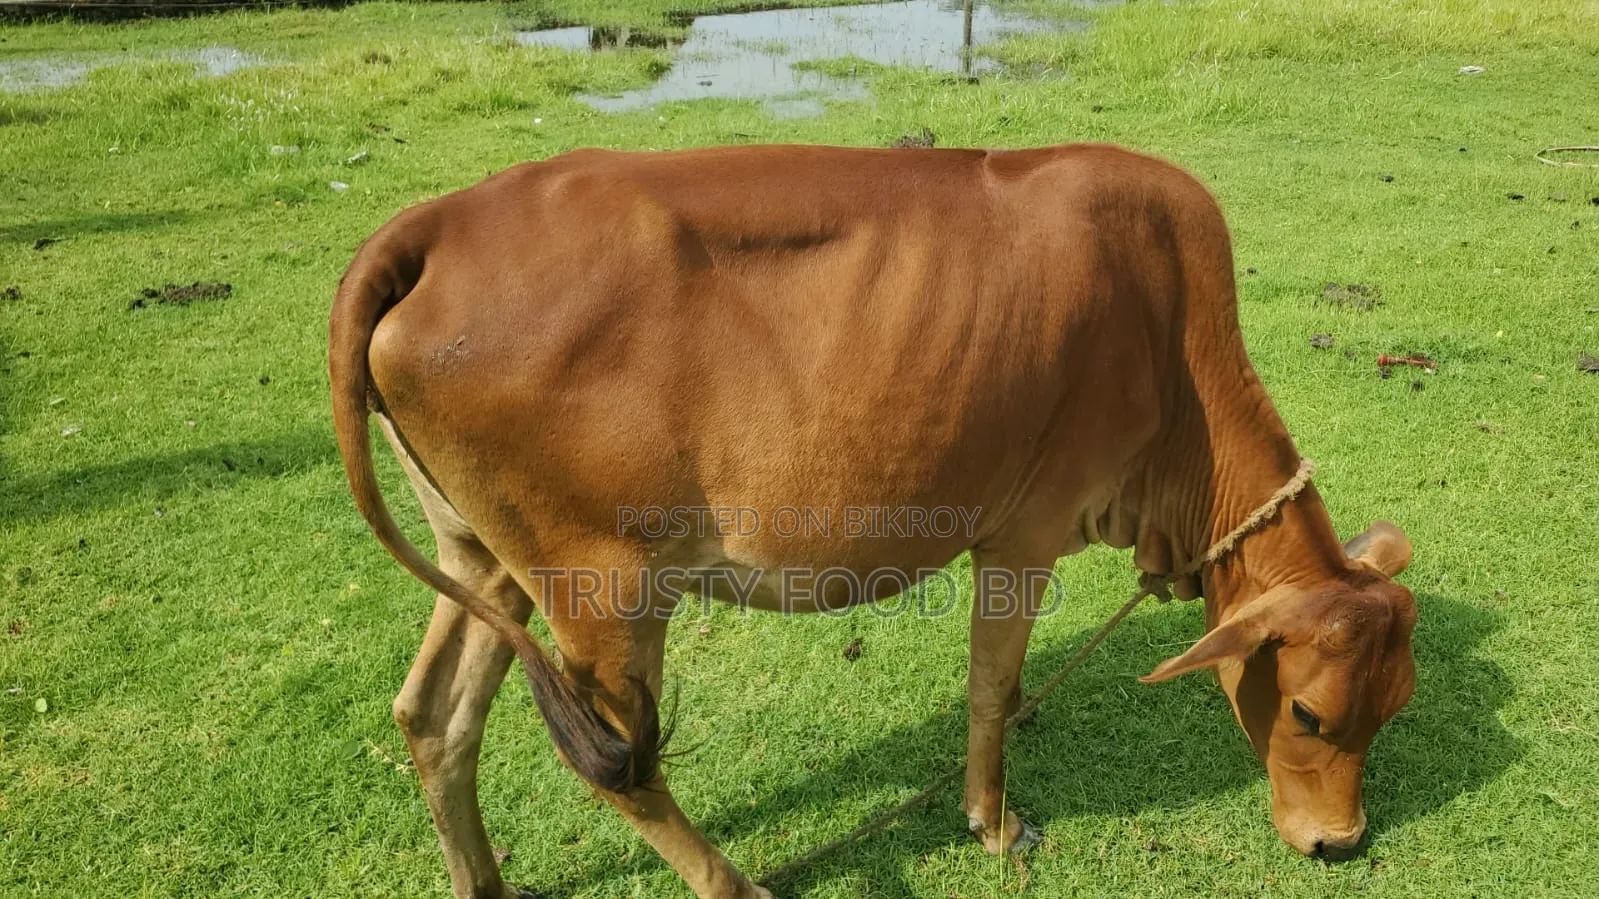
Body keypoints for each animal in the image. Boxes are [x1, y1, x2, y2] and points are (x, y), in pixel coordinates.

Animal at [330, 143, 1418, 899]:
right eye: (1307, 711)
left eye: (1394, 704)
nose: (1337, 840)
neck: (1170, 337)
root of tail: (434, 225)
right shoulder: (1023, 533)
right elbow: (993, 687)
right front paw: (993, 821)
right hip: (603, 585)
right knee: (613, 765)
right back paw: (734, 880)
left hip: (487, 557)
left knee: (433, 714)